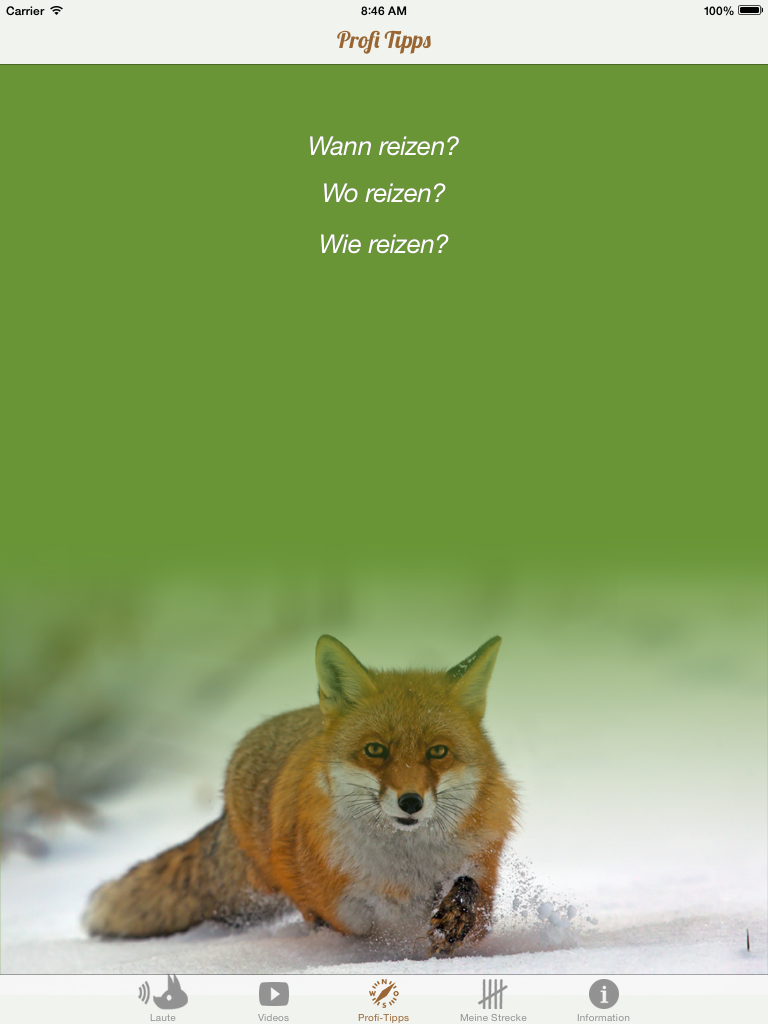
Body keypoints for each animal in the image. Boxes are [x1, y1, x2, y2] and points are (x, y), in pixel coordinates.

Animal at [84, 634, 518, 955]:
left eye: (438, 752)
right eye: (375, 749)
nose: (411, 802)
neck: (406, 864)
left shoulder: (483, 864)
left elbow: (469, 892)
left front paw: (453, 919)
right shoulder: (342, 905)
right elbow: (370, 922)